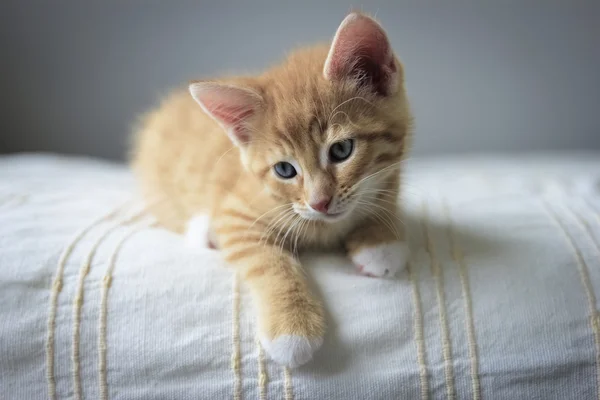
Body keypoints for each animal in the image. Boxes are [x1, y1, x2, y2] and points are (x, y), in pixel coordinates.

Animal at [131, 11, 412, 368]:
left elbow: (386, 196)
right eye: (284, 170)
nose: (320, 203)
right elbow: (268, 262)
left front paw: (380, 239)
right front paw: (292, 329)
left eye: (341, 150)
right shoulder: (237, 216)